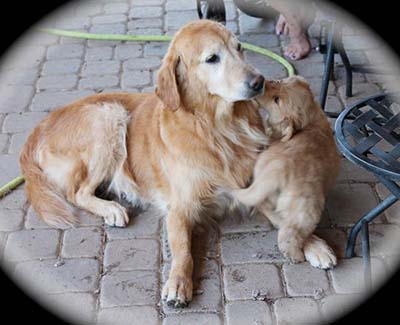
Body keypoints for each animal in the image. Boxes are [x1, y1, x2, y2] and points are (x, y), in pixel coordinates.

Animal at [19, 20, 268, 306]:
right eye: (212, 58)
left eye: (239, 48)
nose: (259, 81)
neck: (217, 128)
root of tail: (39, 127)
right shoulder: (179, 207)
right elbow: (183, 250)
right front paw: (178, 282)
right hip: (108, 114)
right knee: (77, 192)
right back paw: (112, 209)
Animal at [231, 76, 340, 268]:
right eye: (280, 80)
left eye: (277, 100)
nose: (262, 82)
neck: (311, 121)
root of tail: (281, 167)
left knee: (286, 225)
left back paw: (295, 253)